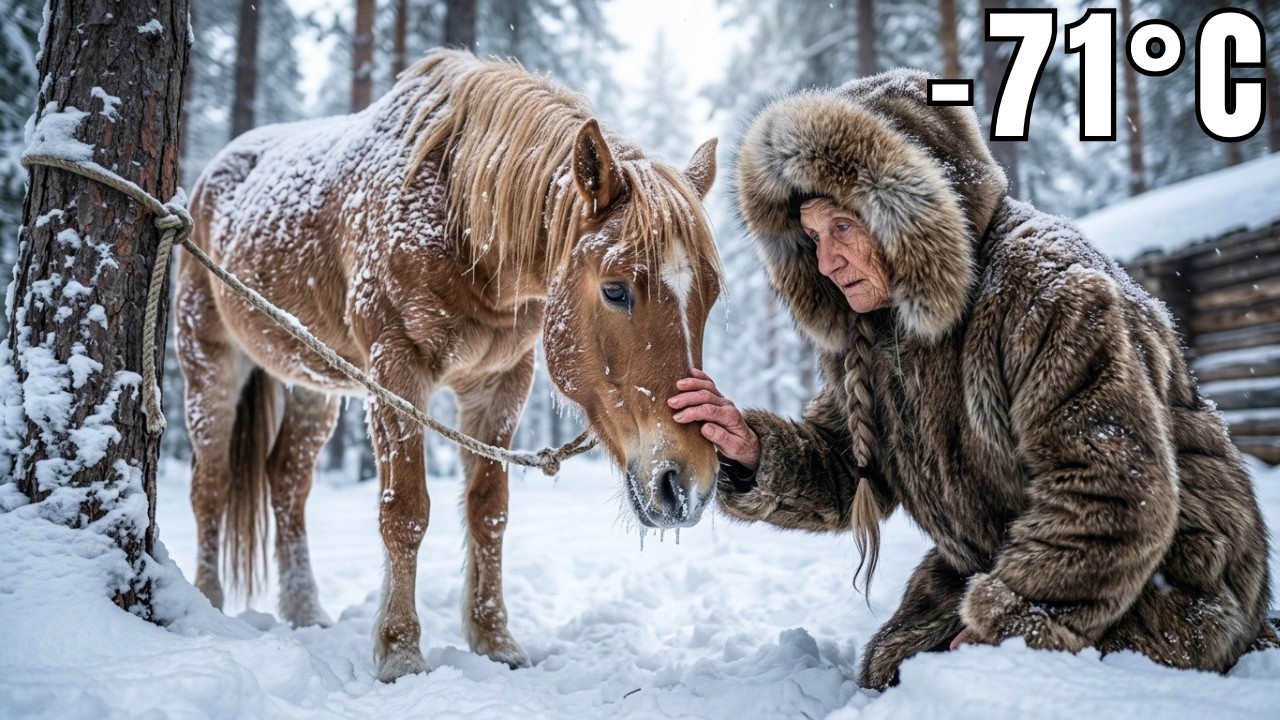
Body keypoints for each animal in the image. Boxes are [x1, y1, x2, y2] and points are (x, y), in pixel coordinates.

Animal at [175, 49, 724, 682]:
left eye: (711, 296)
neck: (460, 220)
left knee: (287, 481)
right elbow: (406, 511)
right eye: (615, 290)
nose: (688, 485)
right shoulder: (395, 372)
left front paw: (494, 640)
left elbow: (489, 512)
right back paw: (208, 600)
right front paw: (399, 651)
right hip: (210, 365)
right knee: (210, 485)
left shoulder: (499, 384)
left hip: (315, 383)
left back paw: (305, 608)